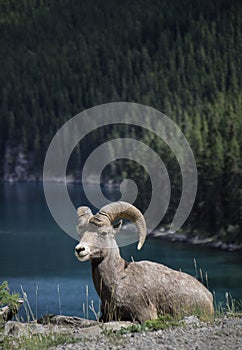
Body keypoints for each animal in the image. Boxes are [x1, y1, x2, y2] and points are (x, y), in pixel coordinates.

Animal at [75, 200, 214, 322]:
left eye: (103, 233)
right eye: (81, 233)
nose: (80, 249)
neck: (119, 279)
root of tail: (208, 296)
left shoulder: (145, 316)